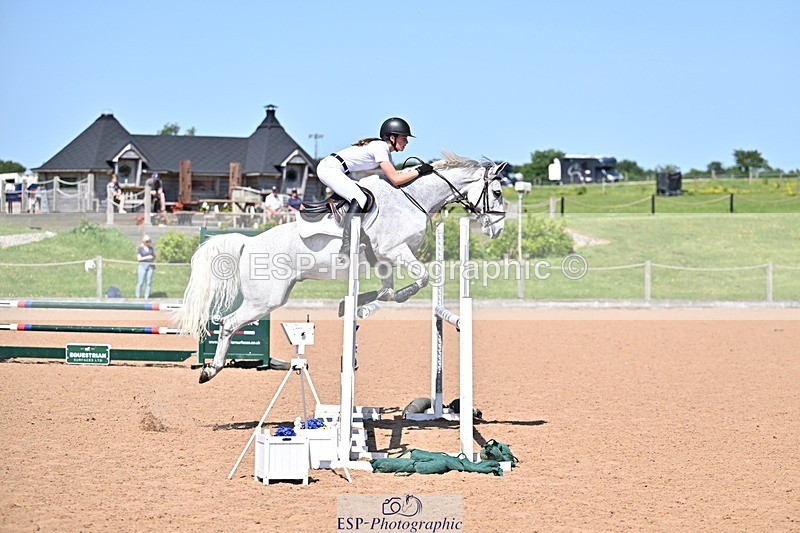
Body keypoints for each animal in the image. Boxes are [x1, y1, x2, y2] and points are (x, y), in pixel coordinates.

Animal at [175, 151, 508, 383]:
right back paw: (210, 370)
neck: (411, 198)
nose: (498, 230)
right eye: (498, 192)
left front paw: (356, 305)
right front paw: (390, 299)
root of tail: (248, 243)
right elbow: (422, 279)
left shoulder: (384, 259)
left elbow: (386, 291)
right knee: (228, 323)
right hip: (264, 300)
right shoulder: (395, 251)